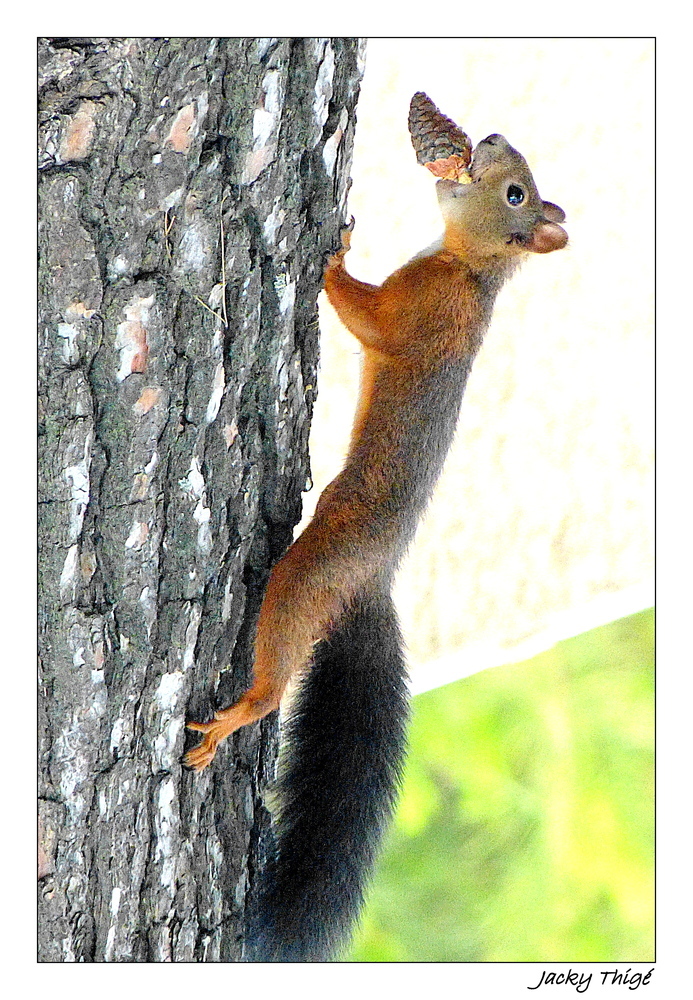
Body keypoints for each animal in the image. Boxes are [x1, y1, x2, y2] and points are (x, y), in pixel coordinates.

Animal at [185, 95, 568, 960]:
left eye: (515, 194)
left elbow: (368, 317)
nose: (488, 136)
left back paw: (238, 714)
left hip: (311, 568)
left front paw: (331, 257)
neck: (469, 270)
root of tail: (375, 576)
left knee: (276, 665)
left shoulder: (418, 311)